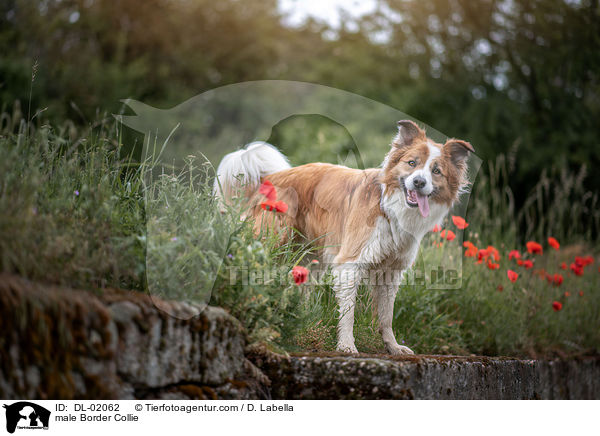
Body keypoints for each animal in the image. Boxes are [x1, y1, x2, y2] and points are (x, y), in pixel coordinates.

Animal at [216, 119, 474, 354]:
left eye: (436, 171)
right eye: (412, 163)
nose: (419, 182)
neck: (390, 208)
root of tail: (270, 178)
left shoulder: (391, 271)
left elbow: (386, 316)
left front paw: (393, 347)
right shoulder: (351, 261)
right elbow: (348, 312)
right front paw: (347, 345)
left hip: (308, 259)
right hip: (271, 240)